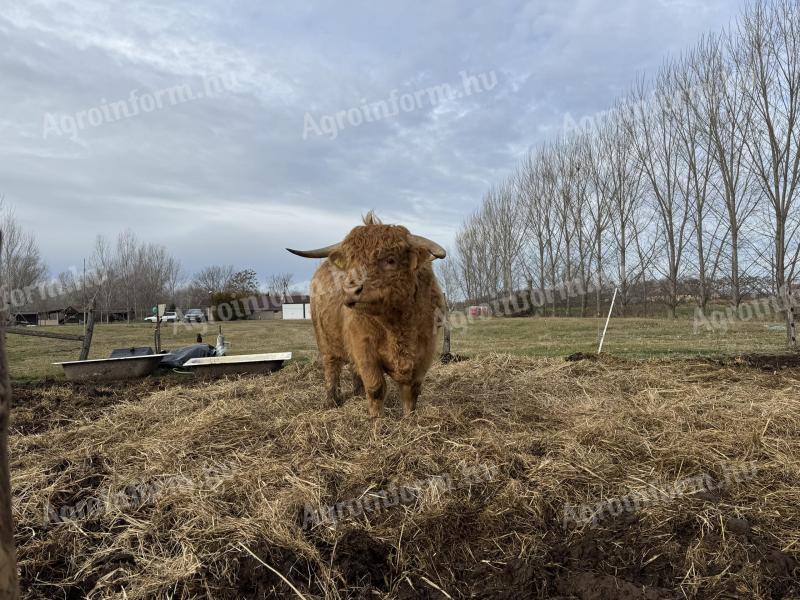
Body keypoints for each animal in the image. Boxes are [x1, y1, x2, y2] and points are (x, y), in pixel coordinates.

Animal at [288, 212, 446, 418]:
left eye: (390, 260)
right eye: (351, 262)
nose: (350, 289)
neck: (398, 325)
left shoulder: (425, 351)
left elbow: (412, 390)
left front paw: (410, 418)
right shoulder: (364, 348)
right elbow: (376, 388)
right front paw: (376, 421)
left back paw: (357, 393)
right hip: (325, 340)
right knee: (332, 368)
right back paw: (331, 401)